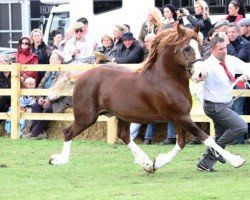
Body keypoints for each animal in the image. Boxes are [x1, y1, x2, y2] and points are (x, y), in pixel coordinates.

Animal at [49, 24, 245, 172]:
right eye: (186, 48)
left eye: (200, 46)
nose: (201, 74)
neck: (166, 80)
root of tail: (81, 77)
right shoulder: (180, 116)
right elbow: (205, 137)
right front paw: (236, 161)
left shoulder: (180, 117)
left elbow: (181, 143)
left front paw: (156, 163)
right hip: (87, 117)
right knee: (68, 132)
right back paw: (59, 160)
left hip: (122, 116)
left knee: (124, 136)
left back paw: (146, 162)